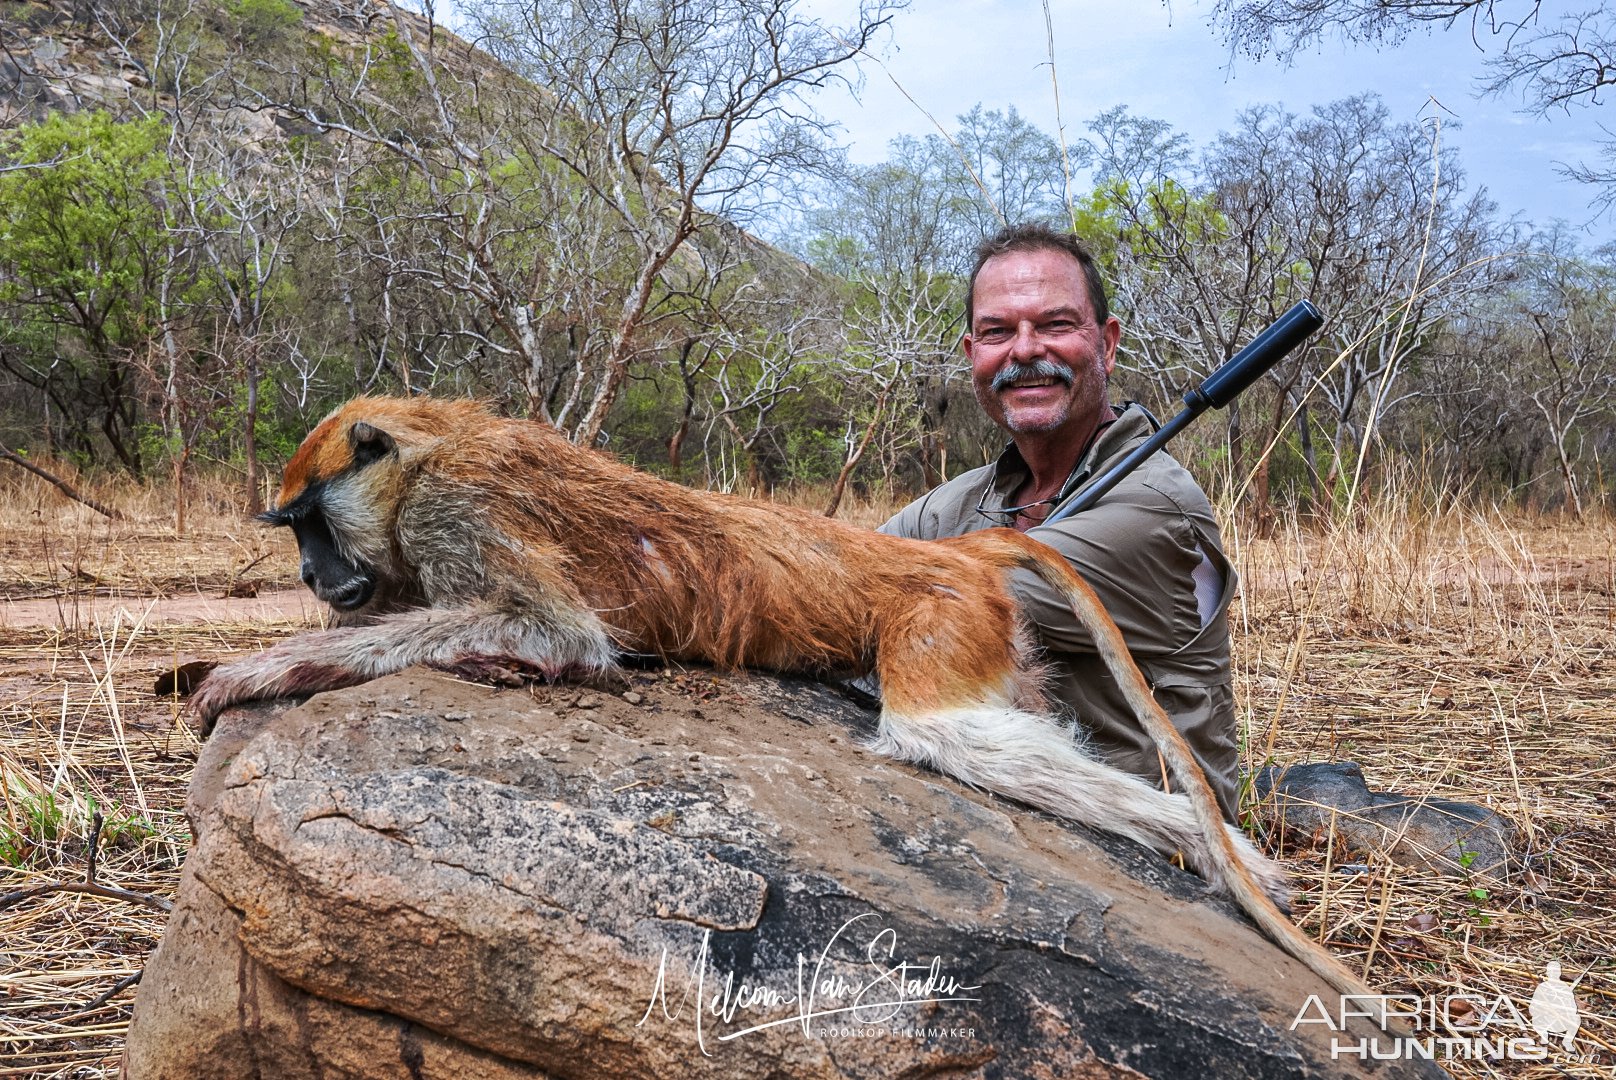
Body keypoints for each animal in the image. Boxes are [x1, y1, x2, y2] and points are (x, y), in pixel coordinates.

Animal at [189, 396, 1376, 1002]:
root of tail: (958, 552)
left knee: (939, 733)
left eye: (308, 521)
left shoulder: (459, 514)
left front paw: (262, 669)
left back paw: (1214, 841)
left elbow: (558, 635)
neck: (431, 444)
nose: (311, 575)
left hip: (940, 617)